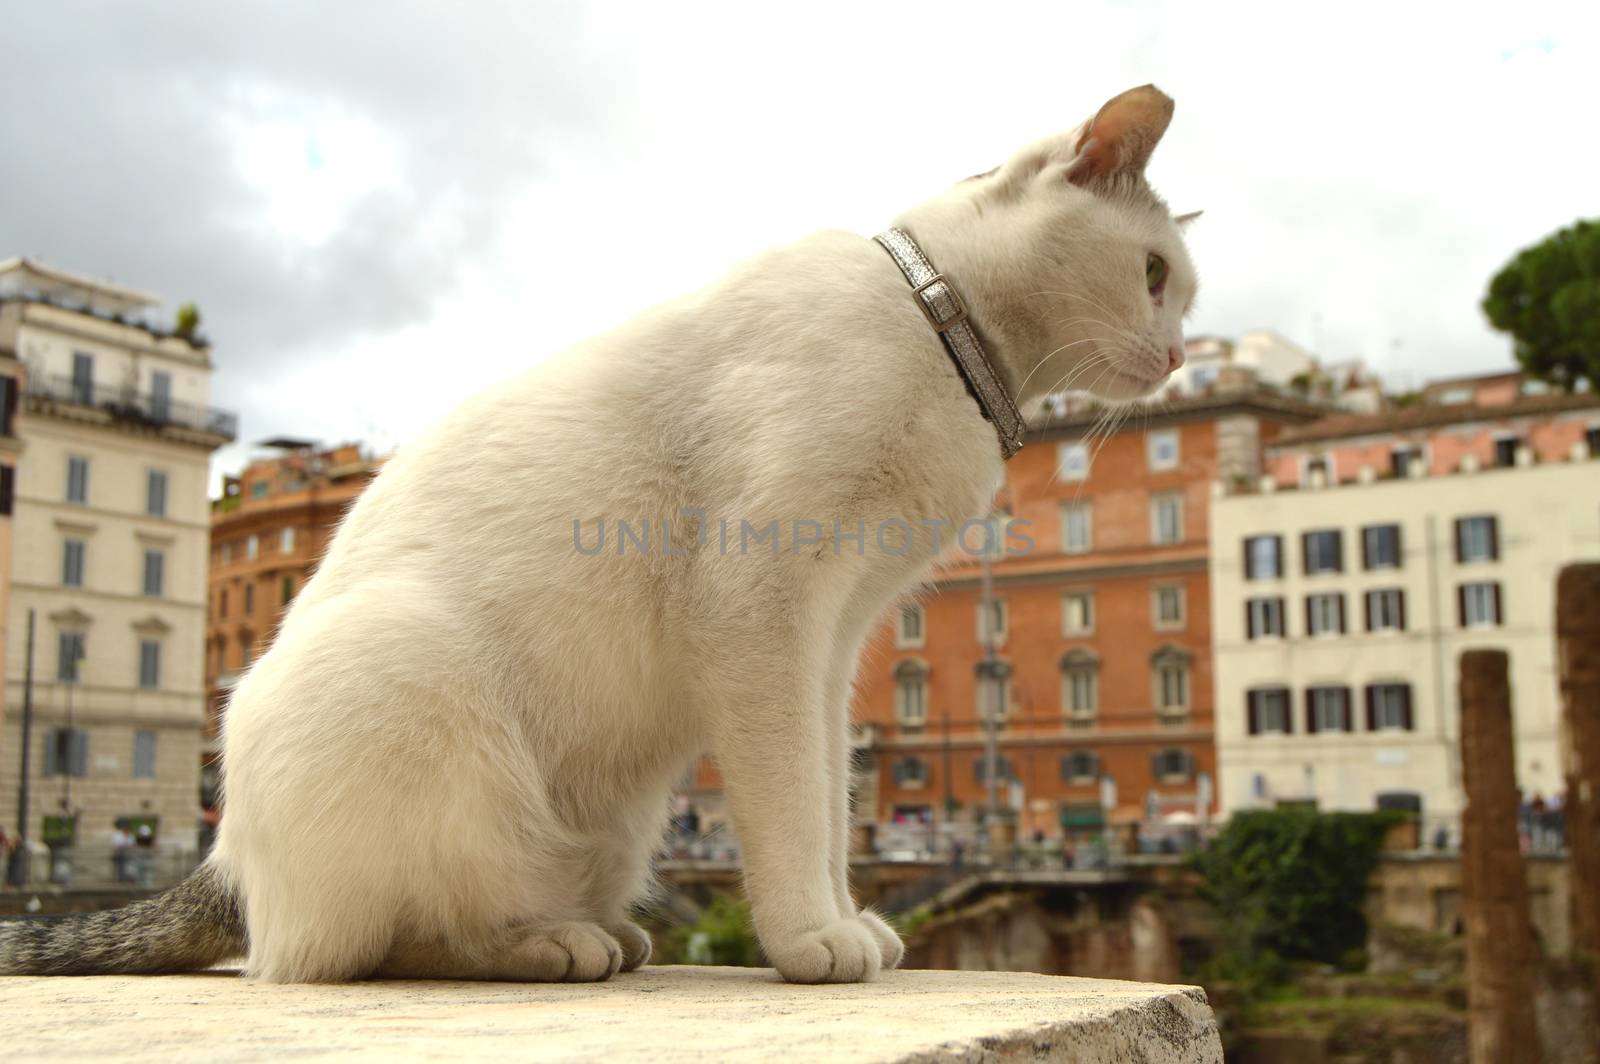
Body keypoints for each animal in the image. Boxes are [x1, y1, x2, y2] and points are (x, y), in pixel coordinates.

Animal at [0, 83, 1196, 979]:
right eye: (1154, 275)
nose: (1182, 352)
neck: (945, 335)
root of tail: (226, 858)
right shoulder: (763, 609)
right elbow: (788, 802)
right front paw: (808, 937)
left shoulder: (835, 638)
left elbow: (828, 795)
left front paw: (845, 918)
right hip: (413, 685)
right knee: (359, 945)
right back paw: (548, 944)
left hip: (619, 810)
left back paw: (602, 931)